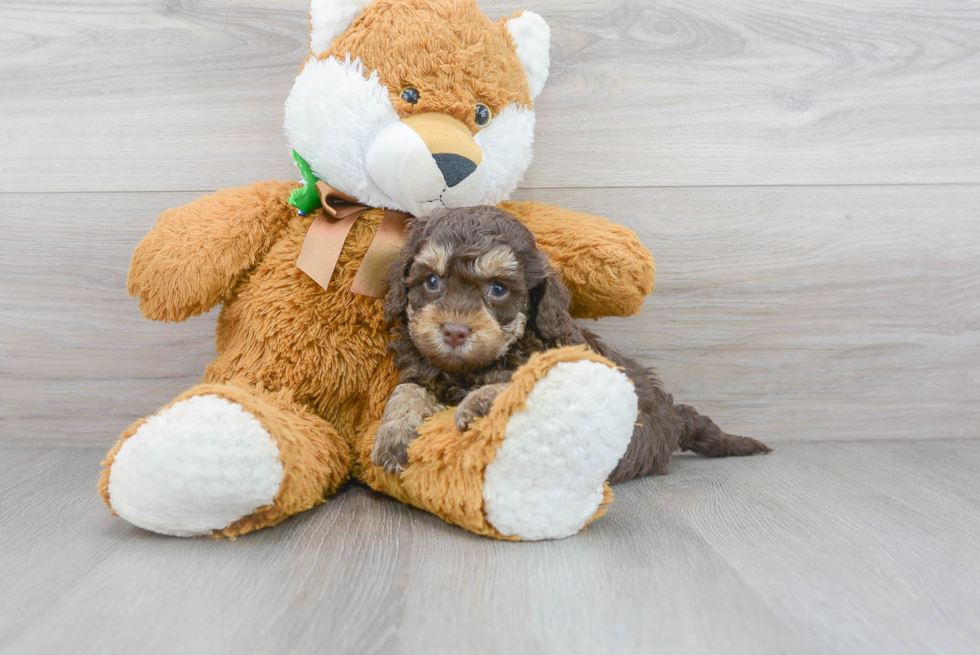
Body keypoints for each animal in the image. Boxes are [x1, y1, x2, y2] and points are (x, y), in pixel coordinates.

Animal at [372, 208, 768, 480]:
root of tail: (673, 415)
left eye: (498, 289)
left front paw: (479, 403)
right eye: (432, 281)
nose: (454, 331)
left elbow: (521, 381)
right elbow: (407, 389)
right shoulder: (427, 370)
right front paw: (394, 431)